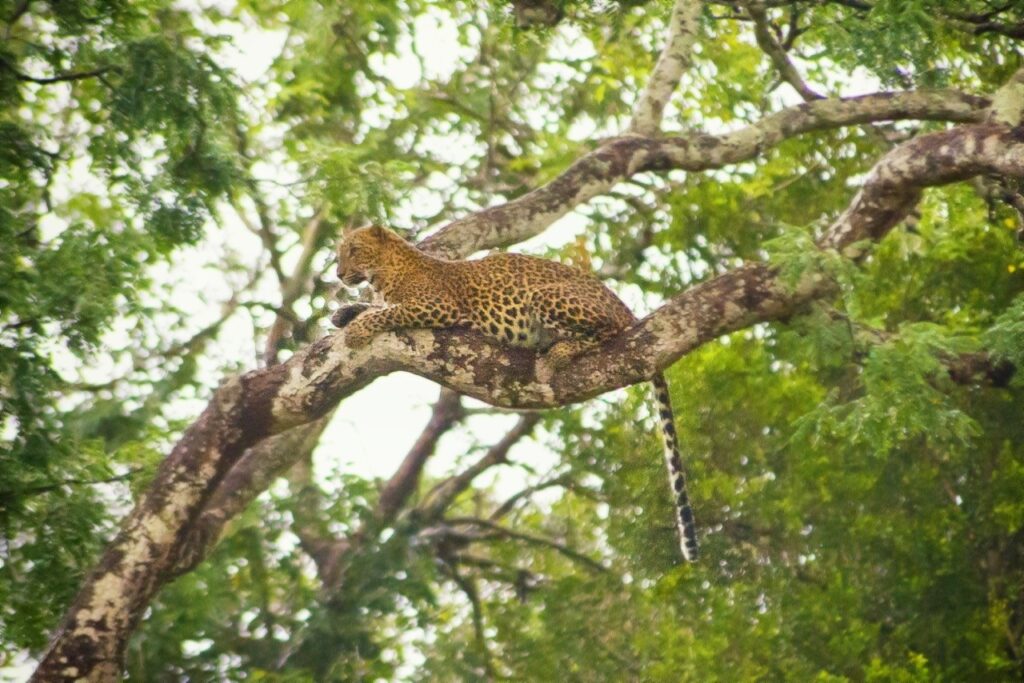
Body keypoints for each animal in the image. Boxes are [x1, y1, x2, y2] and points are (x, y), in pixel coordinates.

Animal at [331, 224, 700, 561]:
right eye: (339, 252)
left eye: (354, 250)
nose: (338, 274)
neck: (383, 274)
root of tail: (625, 307)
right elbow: (372, 306)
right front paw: (344, 312)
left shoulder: (437, 304)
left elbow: (389, 311)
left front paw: (357, 329)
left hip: (548, 297)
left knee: (608, 332)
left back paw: (558, 351)